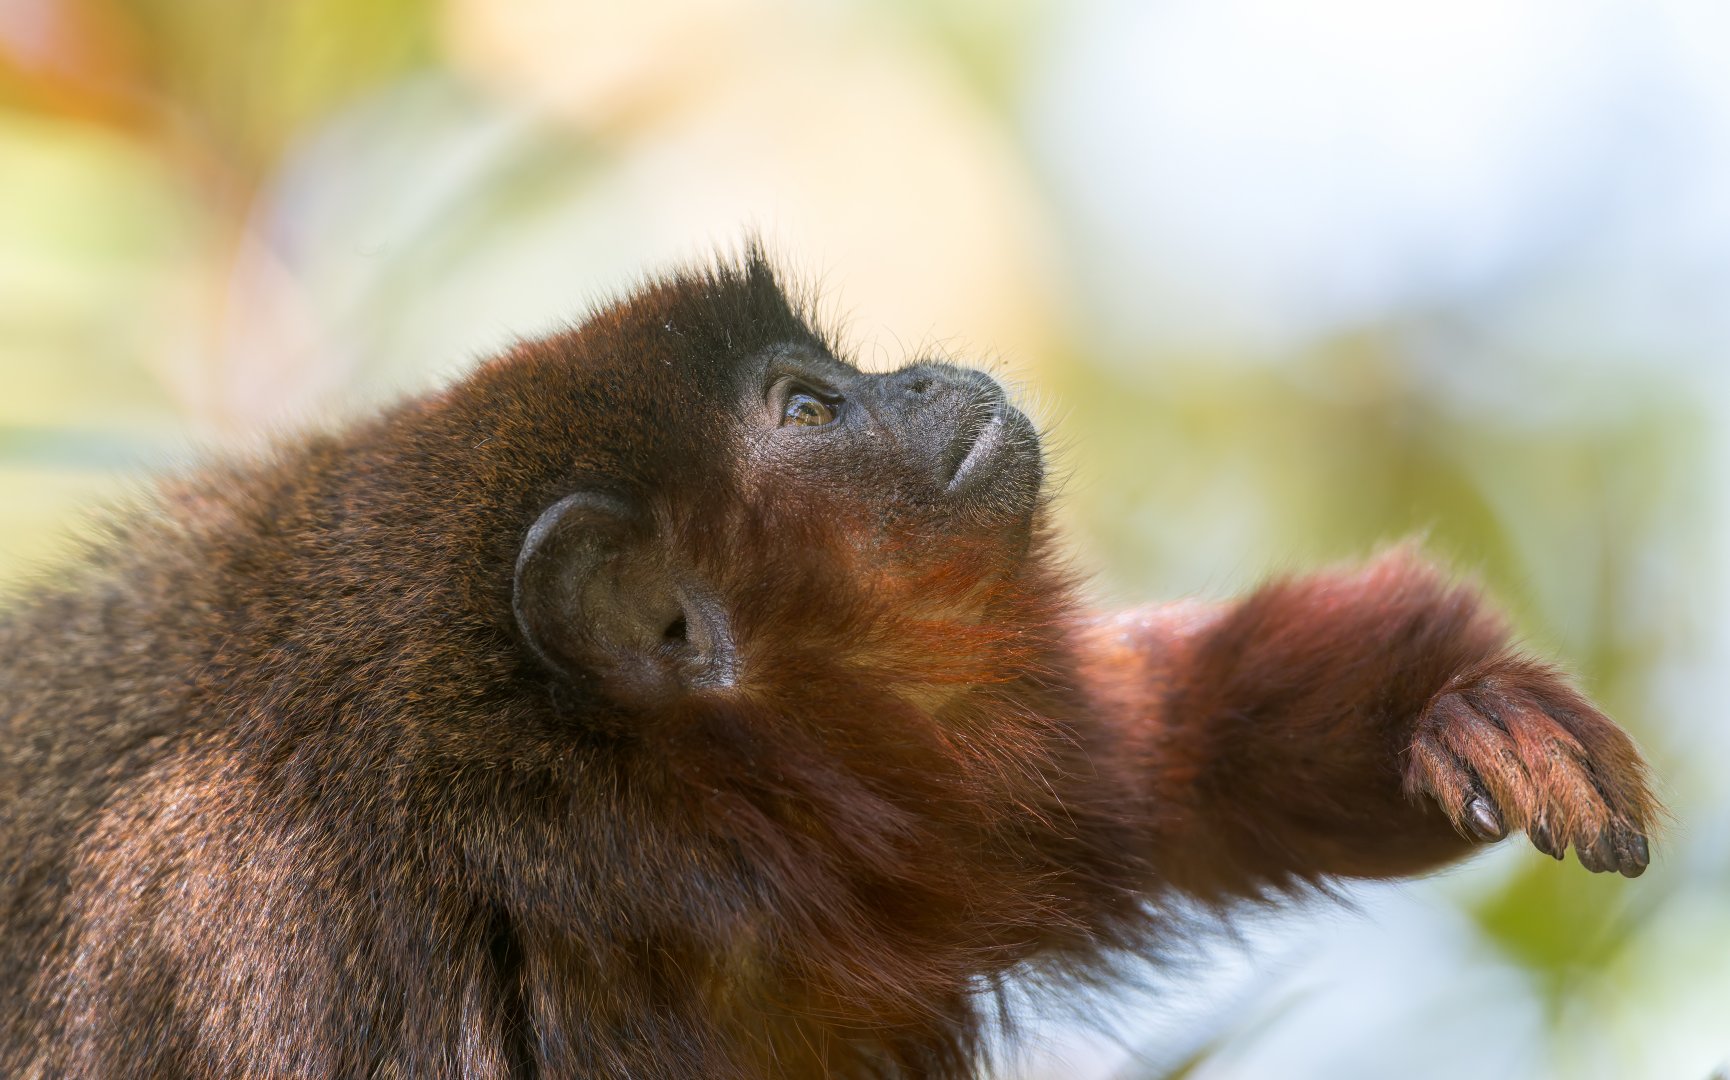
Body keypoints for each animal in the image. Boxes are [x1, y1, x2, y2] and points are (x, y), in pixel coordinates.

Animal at [0, 250, 1657, 1079]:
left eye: (836, 378)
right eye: (808, 411)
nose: (924, 378)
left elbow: (1161, 773)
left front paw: (1447, 710)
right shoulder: (284, 958)